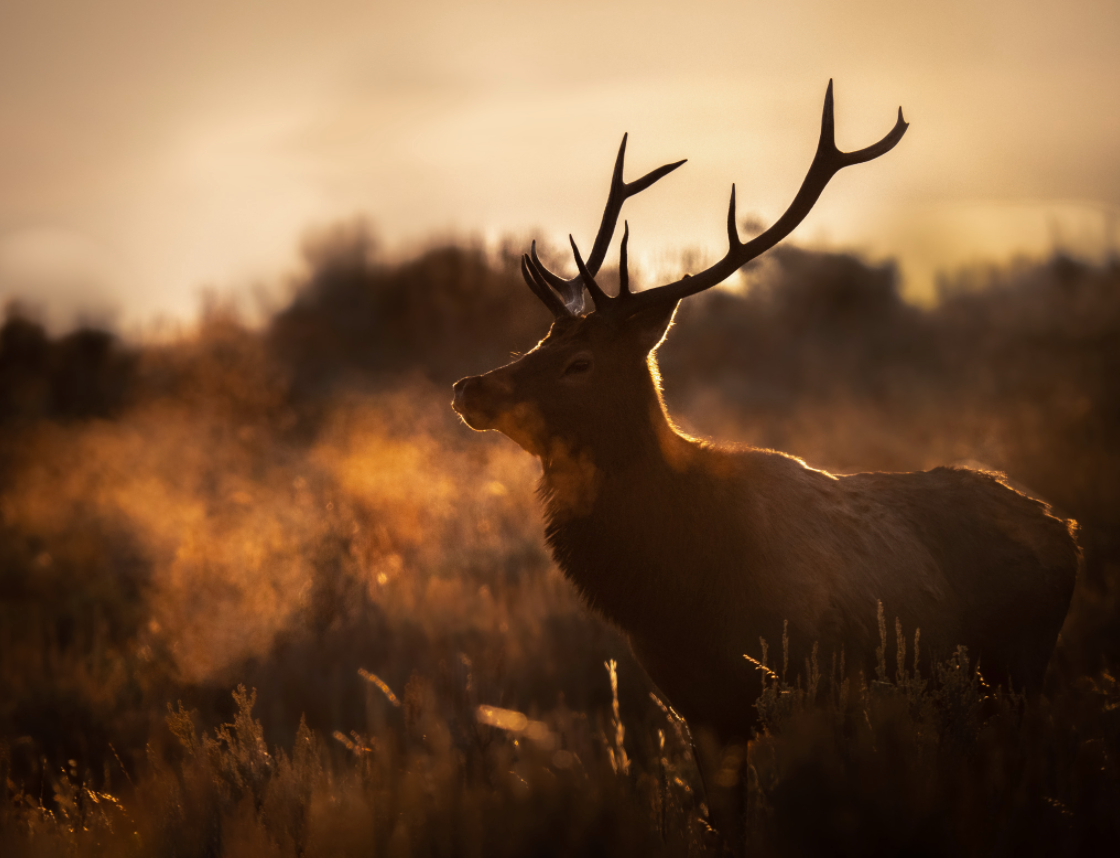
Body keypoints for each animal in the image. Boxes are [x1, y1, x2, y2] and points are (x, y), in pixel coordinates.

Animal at [450, 80, 1079, 752]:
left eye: (580, 363)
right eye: (540, 341)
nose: (468, 388)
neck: (668, 591)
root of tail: (1067, 531)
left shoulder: (803, 682)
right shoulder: (698, 707)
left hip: (1017, 671)